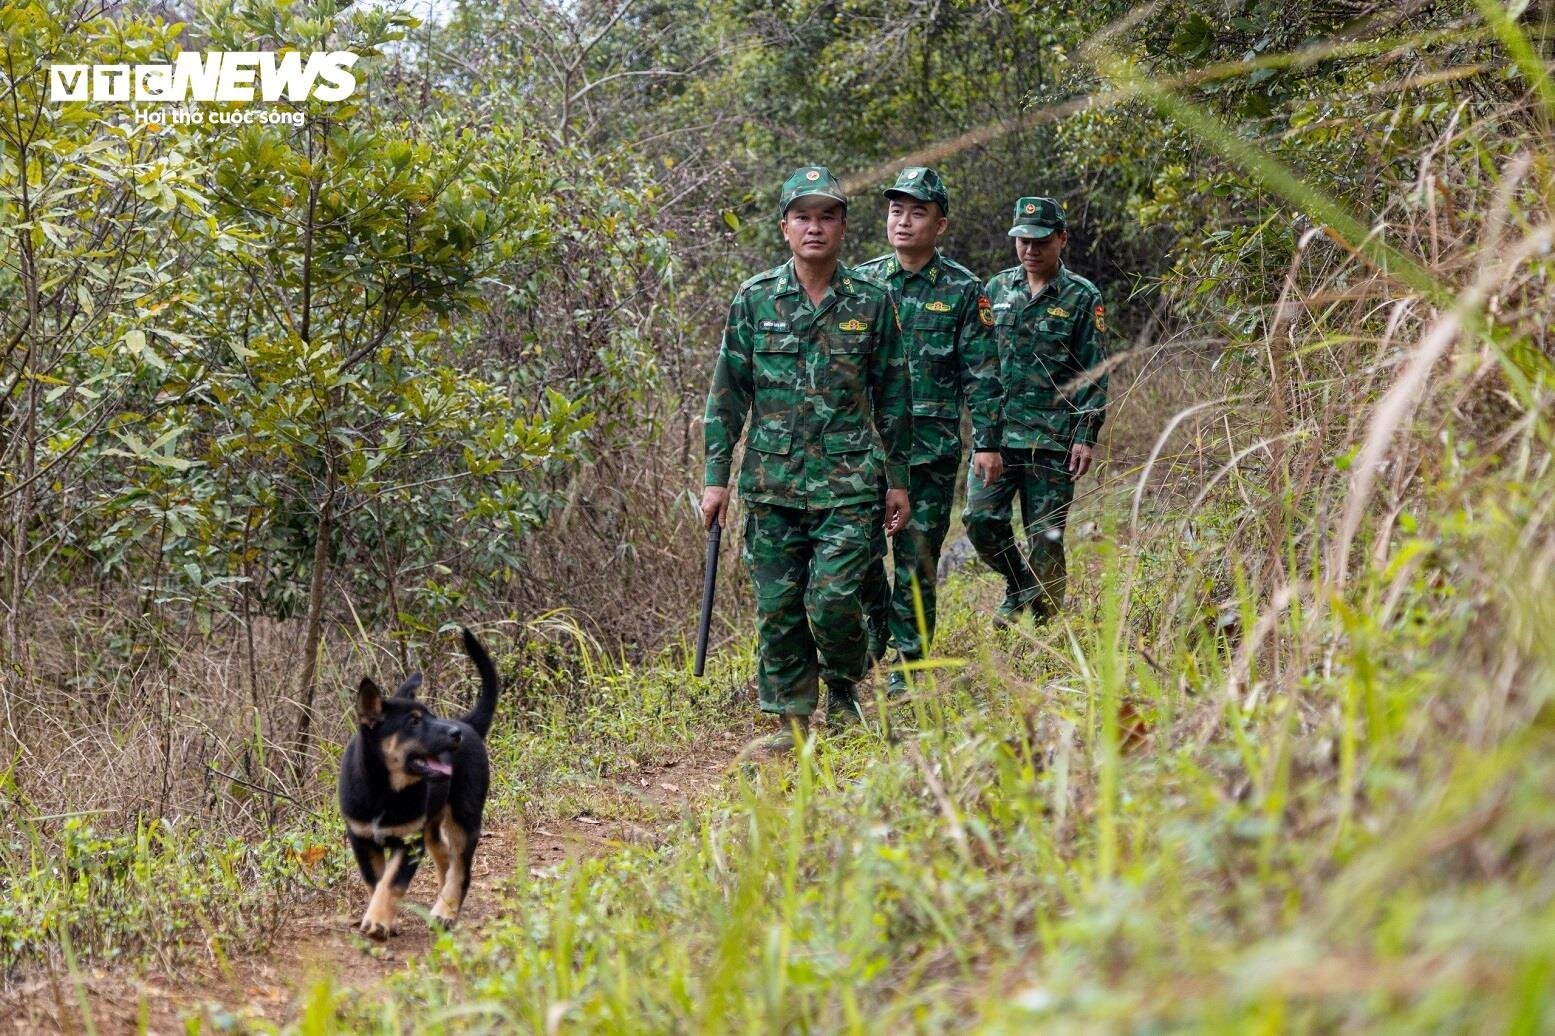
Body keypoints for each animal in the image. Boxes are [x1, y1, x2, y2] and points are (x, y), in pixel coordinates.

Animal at [338, 622, 497, 933]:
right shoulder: (361, 838)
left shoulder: (410, 842)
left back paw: (446, 910)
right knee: (444, 856)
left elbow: (392, 882)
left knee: (460, 869)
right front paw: (385, 919)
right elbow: (376, 881)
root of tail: (468, 724)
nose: (455, 735)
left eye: (431, 716)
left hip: (464, 817)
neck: (383, 789)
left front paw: (378, 921)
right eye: (413, 722)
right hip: (432, 824)